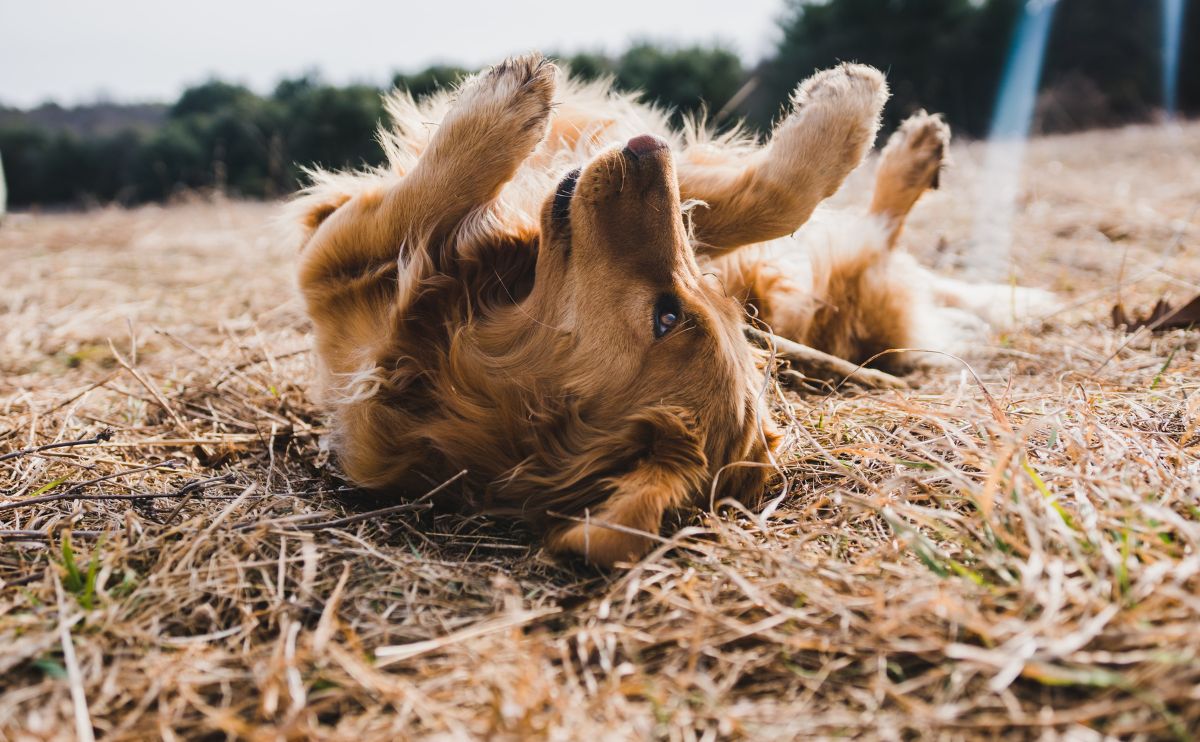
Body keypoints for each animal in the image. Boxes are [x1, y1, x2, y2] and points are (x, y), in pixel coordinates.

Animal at [290, 53, 1041, 559]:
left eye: (668, 316)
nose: (649, 148)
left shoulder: (331, 268)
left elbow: (425, 198)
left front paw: (498, 111)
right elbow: (762, 200)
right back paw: (916, 152)